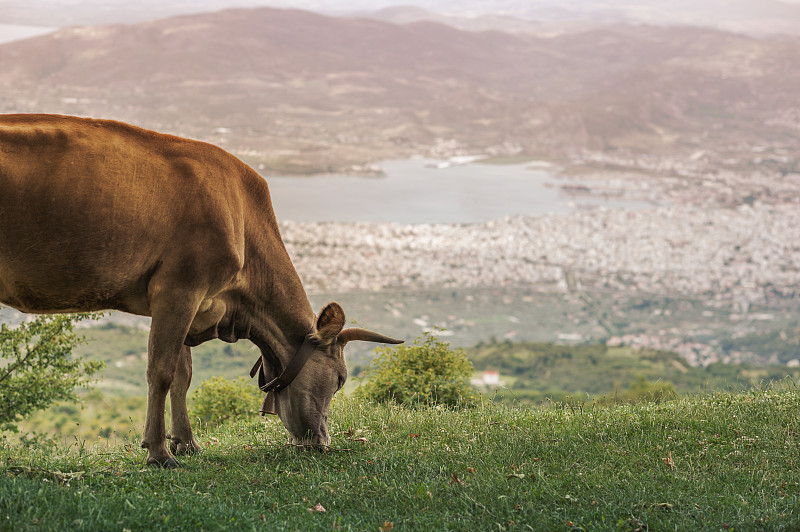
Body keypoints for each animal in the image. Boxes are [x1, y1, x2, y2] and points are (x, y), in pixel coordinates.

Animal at [0, 114, 404, 468]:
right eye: (340, 379)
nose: (322, 441)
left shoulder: (194, 301)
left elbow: (183, 375)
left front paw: (187, 442)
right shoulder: (179, 288)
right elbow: (161, 371)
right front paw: (159, 452)